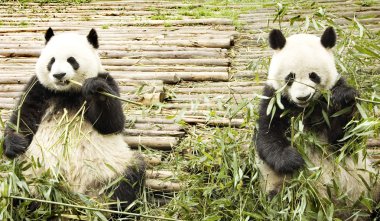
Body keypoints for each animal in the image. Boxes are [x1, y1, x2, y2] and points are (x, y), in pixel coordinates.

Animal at [2, 27, 145, 212]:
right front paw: (15, 144)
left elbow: (112, 123)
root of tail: (71, 194)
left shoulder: (107, 80)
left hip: (112, 167)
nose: (59, 75)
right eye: (52, 61)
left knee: (127, 181)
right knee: (16, 187)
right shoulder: (39, 87)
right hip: (28, 173)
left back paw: (113, 208)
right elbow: (24, 115)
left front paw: (96, 89)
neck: (67, 91)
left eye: (72, 60)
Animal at [255, 28, 380, 205]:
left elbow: (344, 141)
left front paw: (344, 97)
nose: (302, 97)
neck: (305, 109)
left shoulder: (330, 97)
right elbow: (268, 135)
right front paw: (293, 160)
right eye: (290, 77)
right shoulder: (274, 100)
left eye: (313, 75)